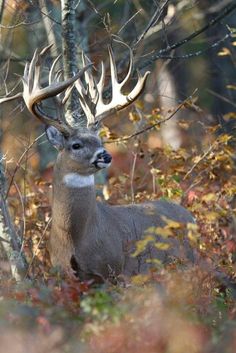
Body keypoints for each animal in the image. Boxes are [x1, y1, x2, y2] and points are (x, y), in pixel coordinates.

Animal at [0, 42, 195, 284]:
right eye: (76, 145)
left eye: (100, 141)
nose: (106, 156)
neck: (75, 237)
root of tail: (191, 217)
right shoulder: (64, 274)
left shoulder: (113, 270)